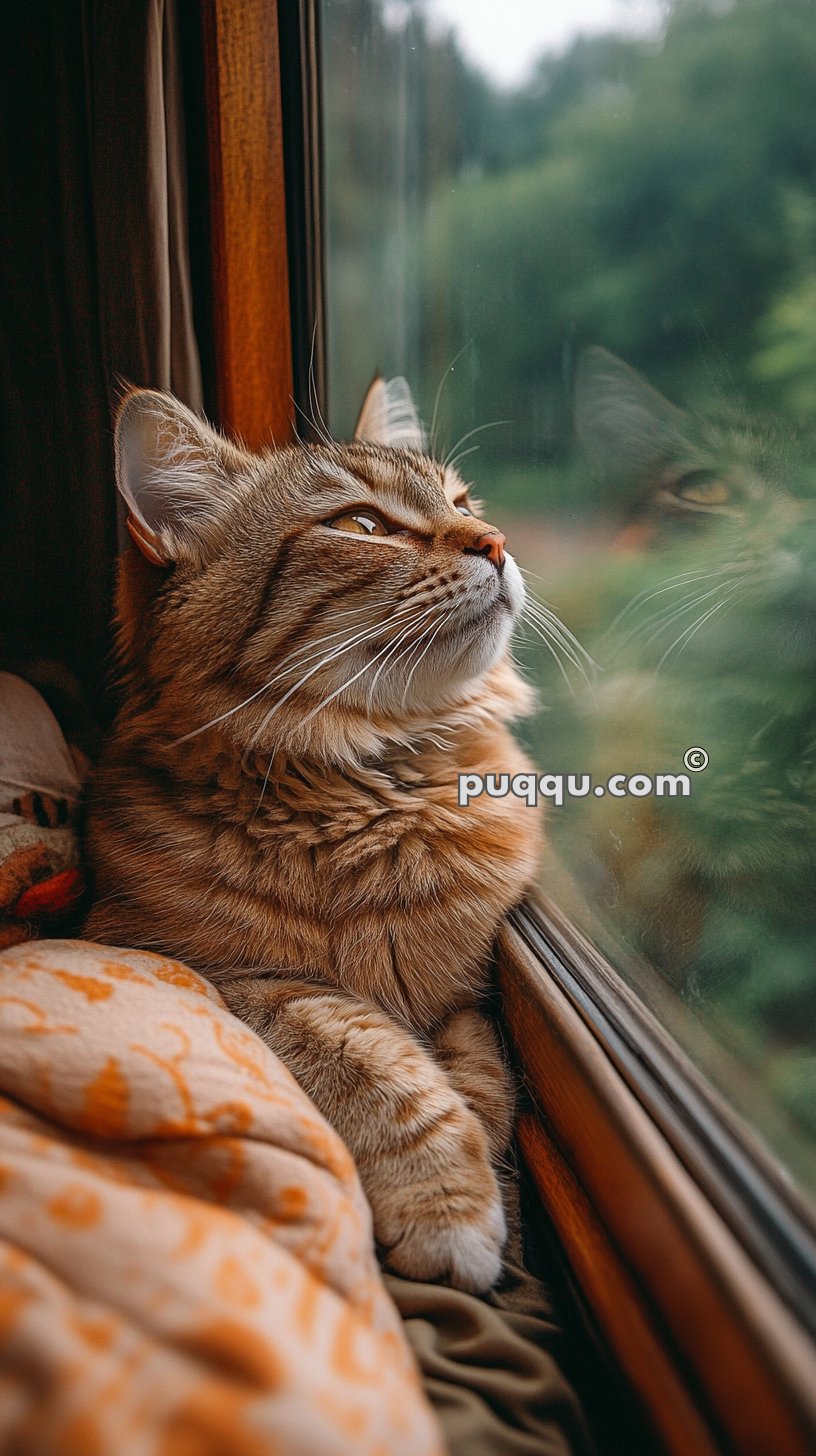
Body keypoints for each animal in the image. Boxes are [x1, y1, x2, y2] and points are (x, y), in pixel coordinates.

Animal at [84, 381, 542, 1292]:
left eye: (465, 504)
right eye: (362, 525)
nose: (498, 543)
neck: (369, 793)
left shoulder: (467, 996)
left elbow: (483, 1080)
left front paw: (487, 1174)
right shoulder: (225, 974)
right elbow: (376, 1062)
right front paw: (449, 1205)